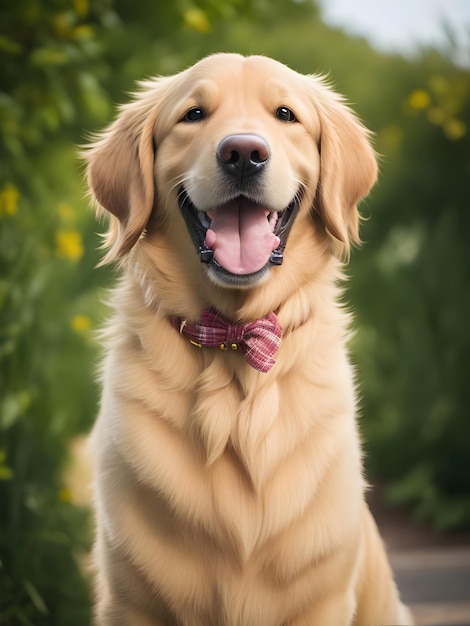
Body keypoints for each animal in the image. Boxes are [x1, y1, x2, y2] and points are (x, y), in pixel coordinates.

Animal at [83, 53, 412, 624]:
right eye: (193, 114)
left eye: (285, 114)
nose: (242, 153)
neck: (234, 339)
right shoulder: (131, 599)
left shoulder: (321, 599)